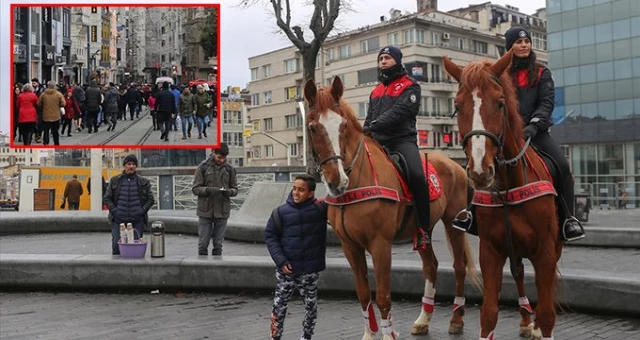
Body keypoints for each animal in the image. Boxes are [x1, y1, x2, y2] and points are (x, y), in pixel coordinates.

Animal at [304, 75, 480, 338]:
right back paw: (423, 320)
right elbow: (363, 294)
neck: (357, 180)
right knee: (431, 266)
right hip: (424, 228)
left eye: (343, 125)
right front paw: (369, 334)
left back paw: (456, 320)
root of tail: (455, 165)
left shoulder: (380, 244)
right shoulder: (350, 247)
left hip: (452, 224)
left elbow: (383, 296)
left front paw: (388, 334)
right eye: (313, 127)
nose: (336, 181)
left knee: (459, 266)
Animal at [442, 48, 564, 340]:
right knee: (518, 274)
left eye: (499, 103)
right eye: (458, 106)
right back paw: (525, 320)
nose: (479, 170)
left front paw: (540, 325)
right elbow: (488, 314)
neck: (509, 187)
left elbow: (547, 312)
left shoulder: (545, 252)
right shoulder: (491, 251)